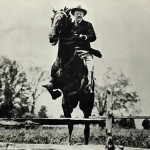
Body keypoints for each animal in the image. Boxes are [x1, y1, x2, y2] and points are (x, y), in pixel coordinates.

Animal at [47, 7, 94, 145]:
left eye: (62, 20)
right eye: (52, 18)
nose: (52, 37)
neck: (64, 60)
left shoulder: (73, 85)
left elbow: (68, 90)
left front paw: (70, 95)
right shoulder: (54, 81)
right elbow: (49, 86)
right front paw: (56, 94)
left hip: (87, 106)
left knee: (86, 126)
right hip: (70, 111)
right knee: (70, 123)